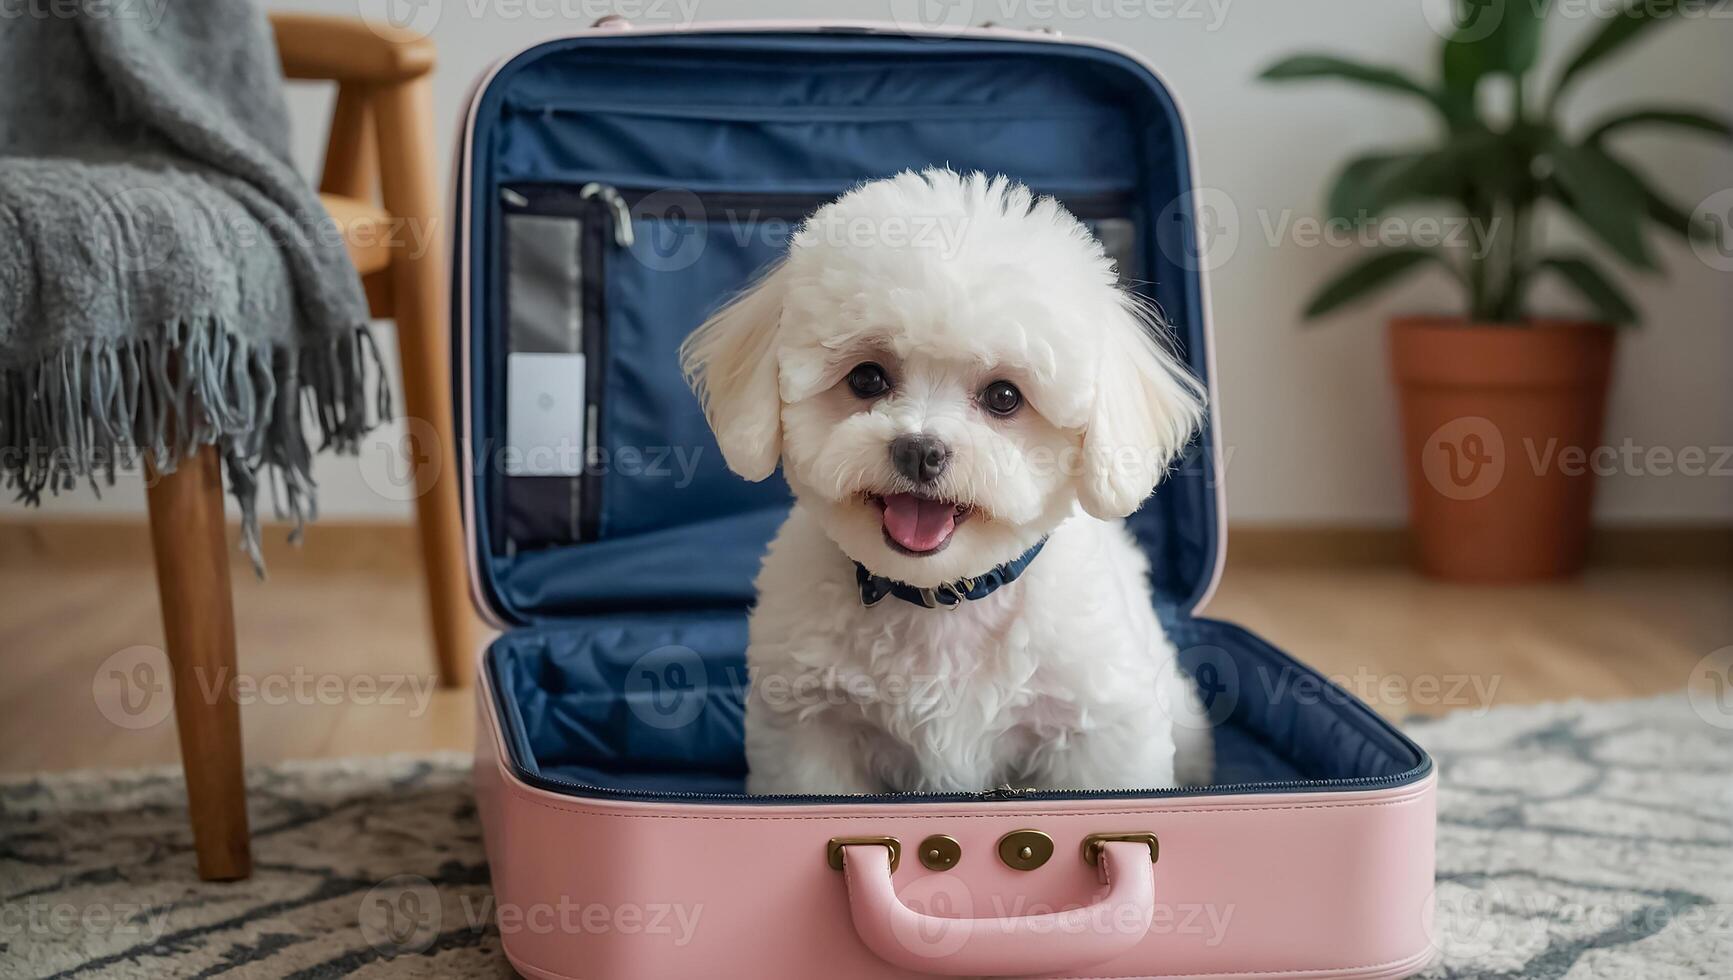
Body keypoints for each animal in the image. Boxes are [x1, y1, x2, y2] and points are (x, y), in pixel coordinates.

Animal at [682, 169, 1213, 794]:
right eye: (867, 378)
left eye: (1004, 396)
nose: (920, 450)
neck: (940, 602)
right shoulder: (811, 732)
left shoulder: (1099, 732)